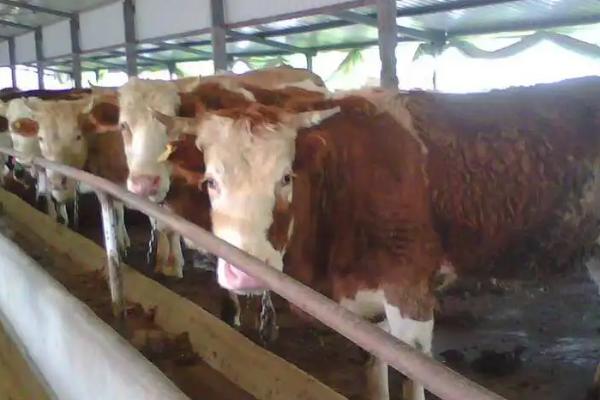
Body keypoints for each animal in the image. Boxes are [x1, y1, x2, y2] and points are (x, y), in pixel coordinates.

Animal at [153, 77, 600, 400]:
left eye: (286, 178)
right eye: (210, 181)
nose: (243, 274)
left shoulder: (410, 289)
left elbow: (412, 370)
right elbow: (374, 361)